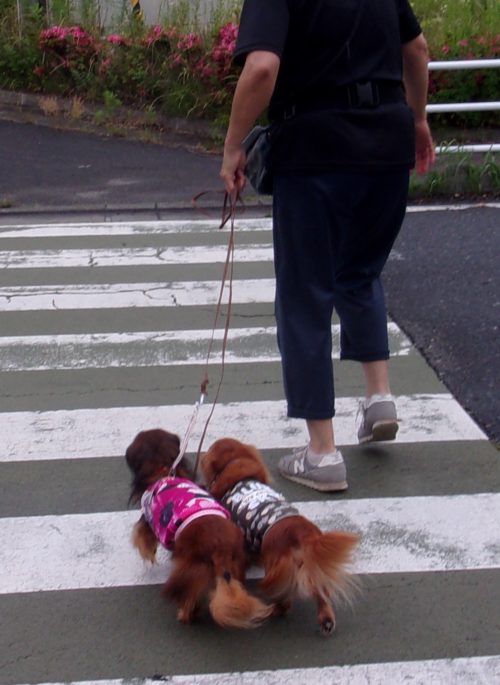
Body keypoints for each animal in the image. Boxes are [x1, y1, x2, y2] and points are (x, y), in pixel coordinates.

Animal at [125, 428, 274, 629]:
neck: (163, 469)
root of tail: (220, 548)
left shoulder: (147, 520)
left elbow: (143, 537)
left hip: (190, 568)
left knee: (189, 597)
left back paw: (185, 615)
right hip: (236, 565)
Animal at [201, 437, 360, 635]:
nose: (201, 457)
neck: (238, 471)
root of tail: (301, 532)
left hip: (277, 564)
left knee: (286, 601)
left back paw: (273, 610)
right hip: (312, 566)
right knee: (320, 592)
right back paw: (326, 619)